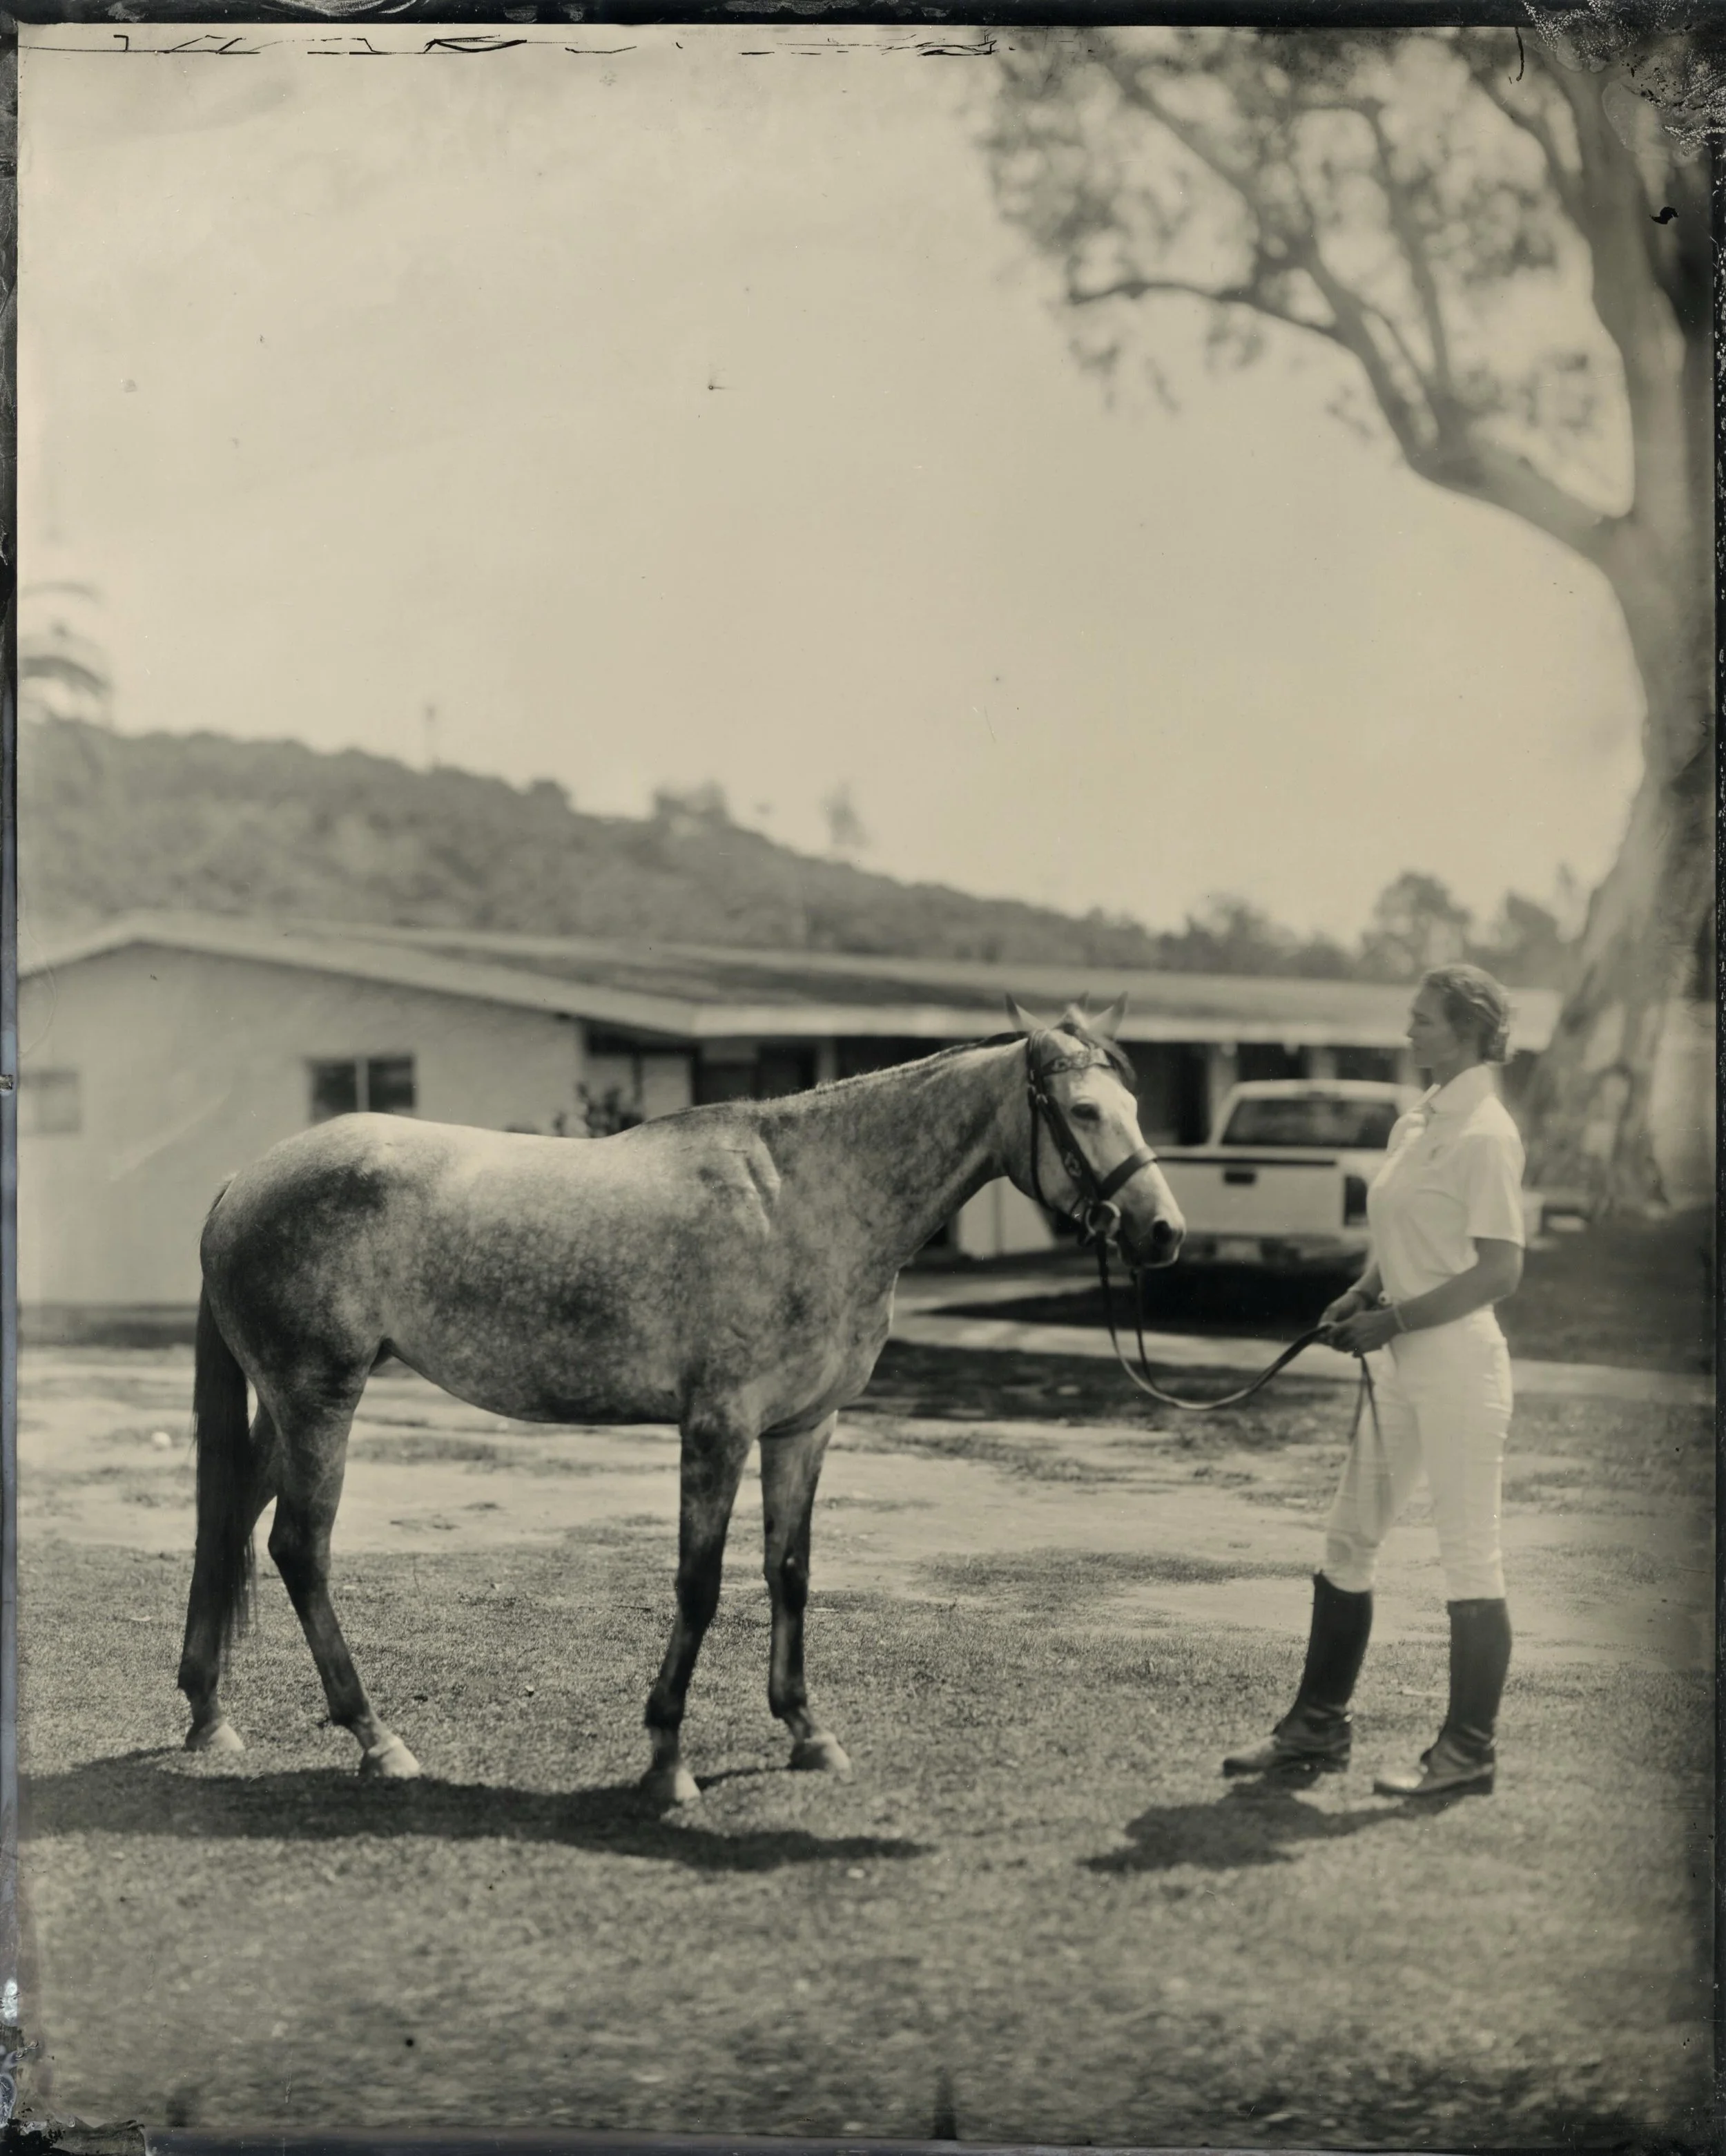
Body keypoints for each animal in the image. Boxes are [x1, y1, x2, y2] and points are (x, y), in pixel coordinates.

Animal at [177, 996, 1185, 1807]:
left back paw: (208, 1711)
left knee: (230, 1519)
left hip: (288, 1407)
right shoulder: (718, 1428)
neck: (802, 1201)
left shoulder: (801, 1428)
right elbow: (698, 1583)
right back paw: (376, 1736)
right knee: (299, 1547)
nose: (1163, 1231)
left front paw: (808, 1732)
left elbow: (789, 1572)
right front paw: (667, 1757)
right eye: (1084, 1111)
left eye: (1138, 1107)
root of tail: (238, 1182)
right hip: (320, 1399)